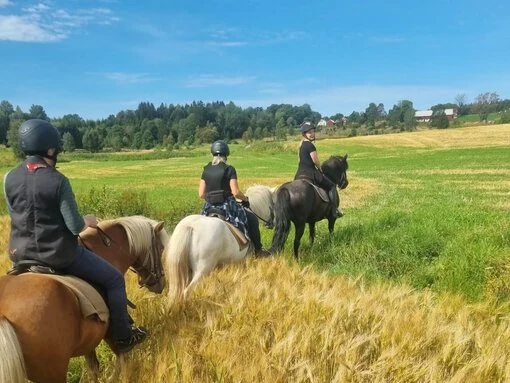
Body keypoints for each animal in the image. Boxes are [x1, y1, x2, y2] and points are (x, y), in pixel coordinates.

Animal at [0, 216, 168, 383]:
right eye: (160, 248)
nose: (161, 284)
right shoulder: (111, 333)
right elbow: (122, 358)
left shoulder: (89, 340)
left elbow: (93, 368)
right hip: (53, 372)